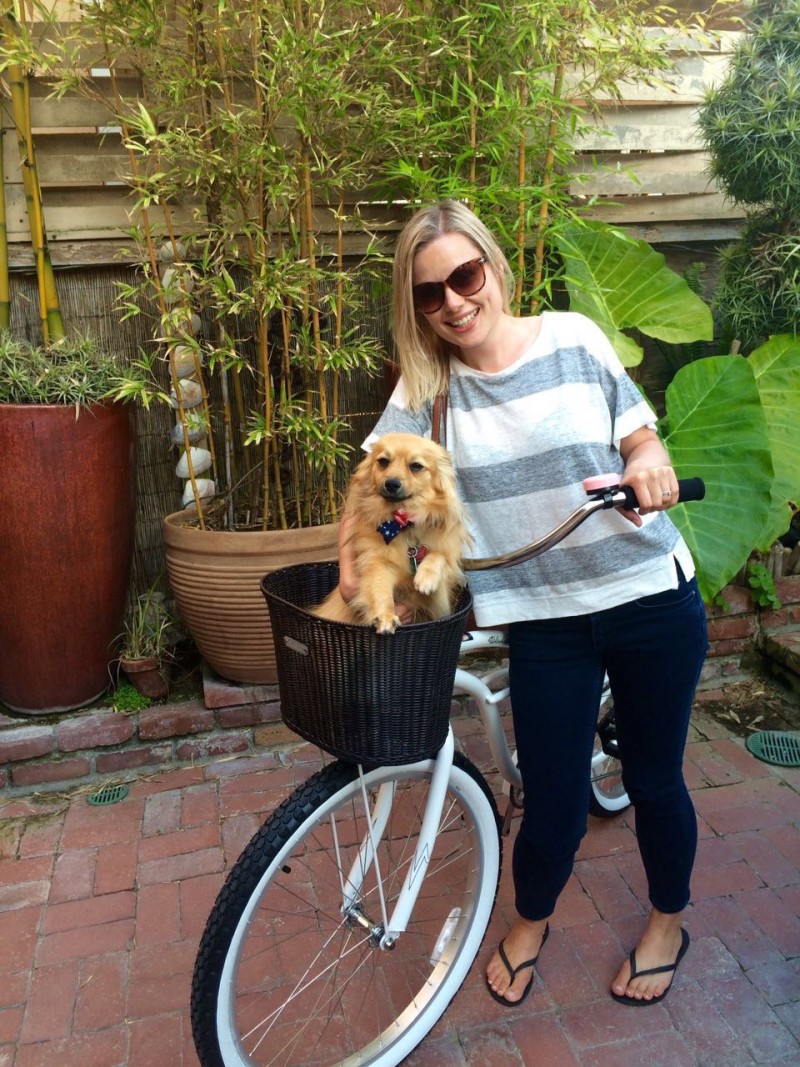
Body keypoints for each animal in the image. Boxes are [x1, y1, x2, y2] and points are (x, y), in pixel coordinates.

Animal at [315, 433, 473, 631]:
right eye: (383, 461)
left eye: (416, 466)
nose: (391, 483)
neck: (403, 523)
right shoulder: (378, 563)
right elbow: (380, 588)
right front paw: (385, 616)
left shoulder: (436, 597)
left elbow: (439, 556)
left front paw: (426, 577)